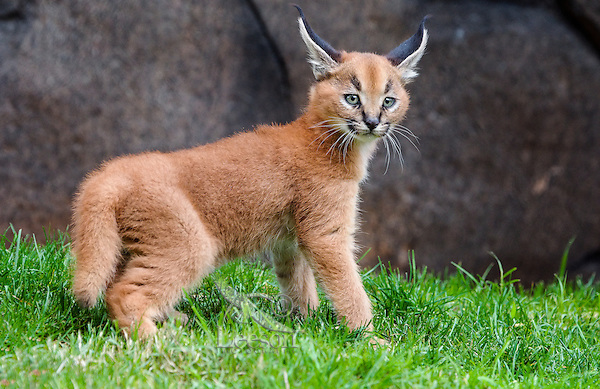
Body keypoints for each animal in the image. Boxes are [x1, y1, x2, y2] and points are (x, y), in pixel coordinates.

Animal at [71, 6, 426, 340]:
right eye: (352, 98)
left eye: (389, 101)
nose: (373, 121)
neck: (325, 140)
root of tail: (111, 172)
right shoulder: (326, 233)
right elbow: (349, 287)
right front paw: (370, 339)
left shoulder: (290, 238)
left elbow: (298, 282)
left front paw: (303, 325)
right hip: (188, 242)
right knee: (123, 295)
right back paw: (162, 343)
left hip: (129, 244)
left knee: (113, 284)